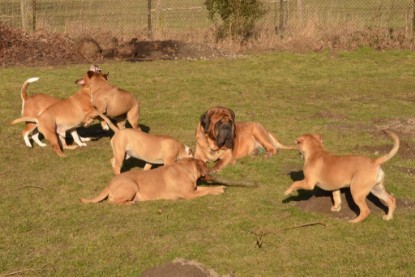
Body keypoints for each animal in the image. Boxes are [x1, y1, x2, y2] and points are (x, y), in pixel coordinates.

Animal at [80, 156, 224, 204]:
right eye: (206, 166)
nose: (212, 171)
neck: (185, 168)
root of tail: (111, 182)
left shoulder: (194, 189)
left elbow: (205, 188)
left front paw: (218, 187)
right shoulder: (190, 194)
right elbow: (206, 191)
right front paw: (217, 191)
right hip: (131, 185)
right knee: (114, 202)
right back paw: (129, 203)